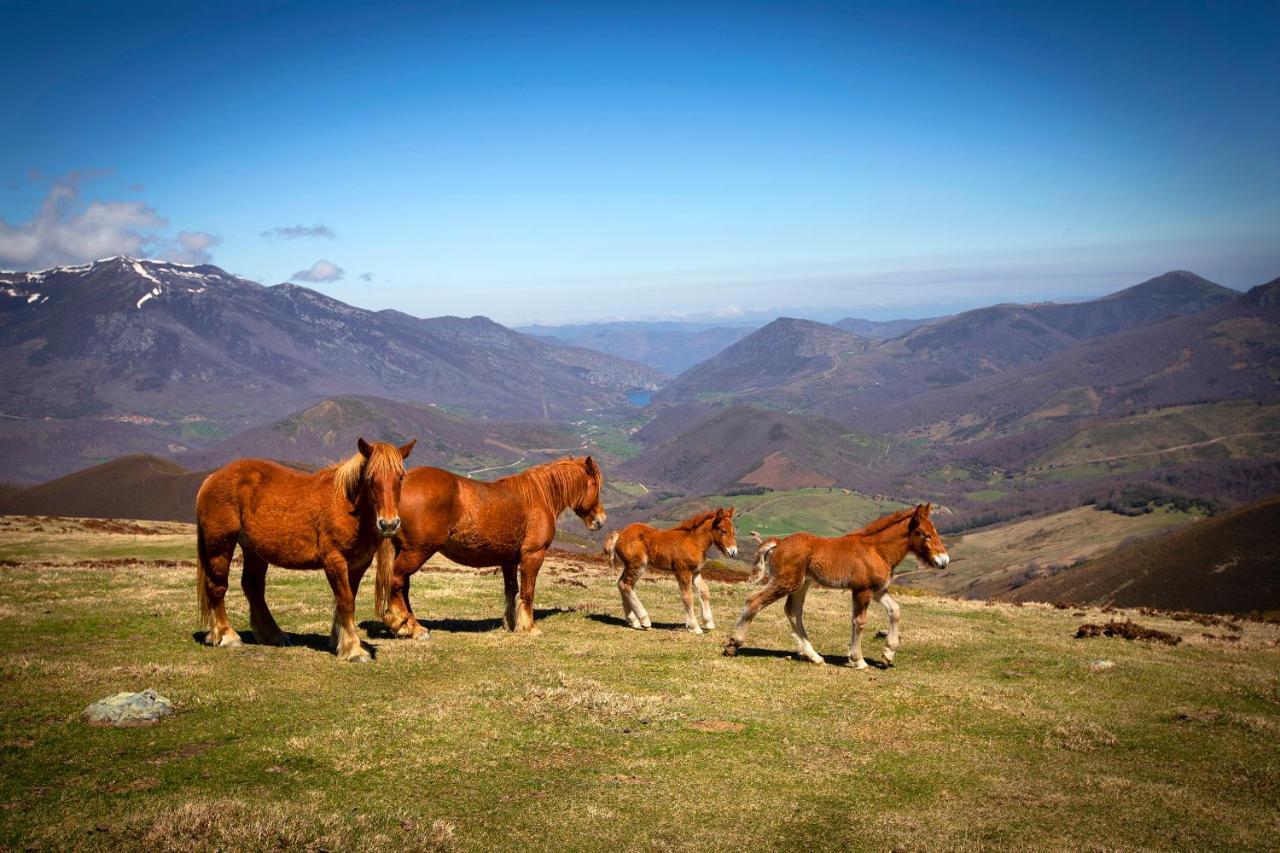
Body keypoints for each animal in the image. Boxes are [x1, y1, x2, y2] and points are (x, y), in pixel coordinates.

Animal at [194, 435, 414, 660]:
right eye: (370, 478)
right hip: (220, 546)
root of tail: (211, 479)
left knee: (253, 587)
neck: (347, 506)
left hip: (254, 551)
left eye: (400, 477)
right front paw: (353, 649)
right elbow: (345, 602)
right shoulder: (334, 561)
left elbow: (347, 599)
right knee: (217, 587)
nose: (389, 524)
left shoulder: (357, 565)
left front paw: (339, 640)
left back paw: (273, 635)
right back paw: (226, 635)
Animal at [373, 455, 604, 635]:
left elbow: (511, 591)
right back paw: (405, 625)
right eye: (595, 486)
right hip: (417, 551)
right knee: (396, 580)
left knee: (402, 586)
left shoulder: (509, 561)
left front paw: (511, 624)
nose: (600, 521)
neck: (538, 497)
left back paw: (413, 626)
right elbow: (528, 592)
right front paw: (529, 627)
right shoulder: (533, 555)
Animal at [606, 504, 742, 630]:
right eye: (723, 531)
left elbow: (705, 592)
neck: (693, 542)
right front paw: (694, 627)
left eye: (733, 531)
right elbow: (688, 597)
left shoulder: (695, 572)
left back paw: (633, 621)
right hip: (637, 566)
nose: (733, 552)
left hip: (630, 566)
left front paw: (709, 623)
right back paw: (645, 621)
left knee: (623, 584)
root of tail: (620, 534)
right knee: (626, 585)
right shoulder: (683, 571)